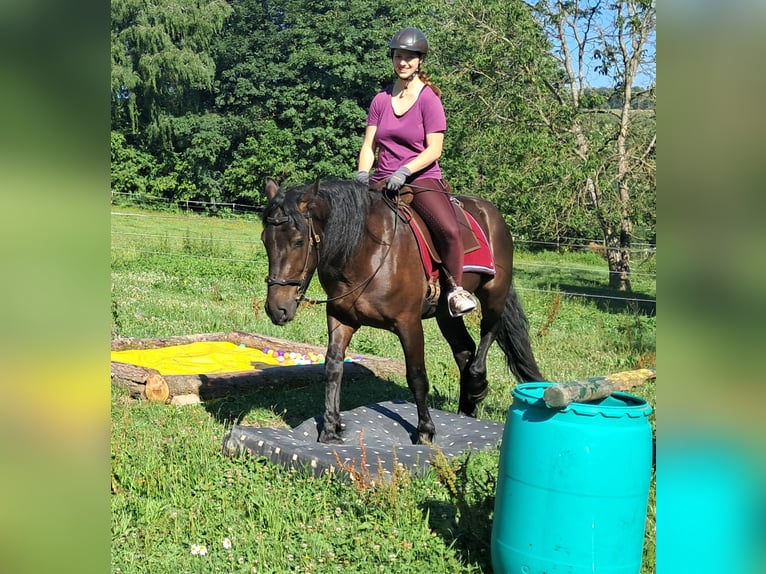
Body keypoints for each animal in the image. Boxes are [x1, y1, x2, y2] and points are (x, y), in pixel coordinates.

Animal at [261, 177, 544, 444]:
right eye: (265, 240)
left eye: (299, 242)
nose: (277, 309)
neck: (366, 251)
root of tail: (490, 211)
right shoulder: (341, 318)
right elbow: (333, 368)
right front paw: (330, 429)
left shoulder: (409, 324)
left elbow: (417, 376)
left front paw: (426, 432)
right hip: (446, 314)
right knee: (465, 350)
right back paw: (467, 409)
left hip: (494, 294)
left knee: (488, 333)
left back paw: (476, 386)